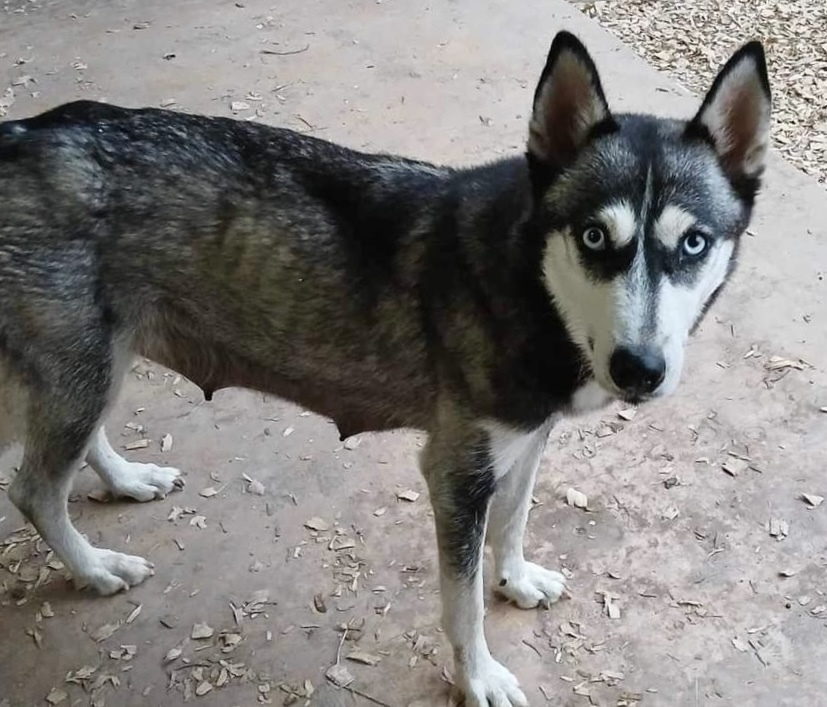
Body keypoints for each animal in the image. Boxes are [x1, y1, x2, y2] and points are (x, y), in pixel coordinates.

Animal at [3, 31, 772, 704]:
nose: (639, 368)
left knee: (74, 449)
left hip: (96, 362)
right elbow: (463, 604)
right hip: (83, 367)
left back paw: (126, 479)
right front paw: (477, 677)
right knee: (35, 490)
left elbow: (516, 519)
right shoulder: (457, 474)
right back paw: (94, 568)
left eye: (694, 242)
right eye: (592, 236)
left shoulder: (524, 440)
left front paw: (515, 578)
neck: (524, 278)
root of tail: (21, 135)